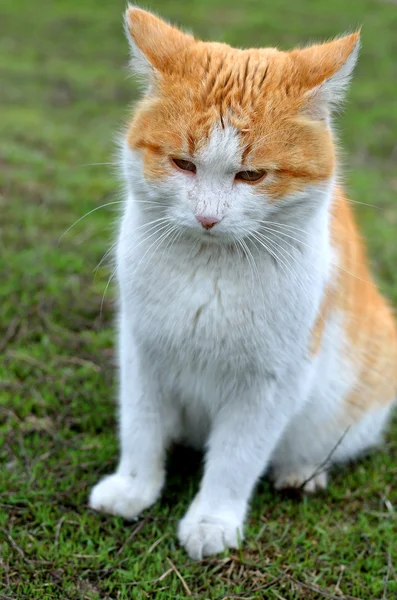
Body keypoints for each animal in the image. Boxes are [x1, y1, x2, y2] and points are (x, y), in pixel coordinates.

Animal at [89, 7, 396, 564]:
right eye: (183, 164)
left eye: (251, 176)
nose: (208, 217)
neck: (210, 268)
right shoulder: (142, 352)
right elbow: (141, 428)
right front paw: (134, 488)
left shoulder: (269, 384)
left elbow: (236, 458)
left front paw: (212, 520)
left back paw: (301, 472)